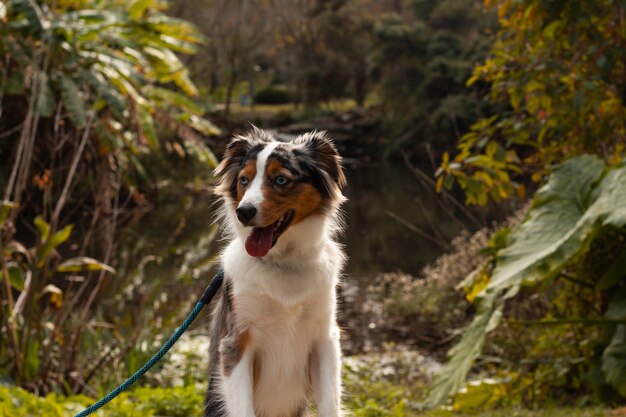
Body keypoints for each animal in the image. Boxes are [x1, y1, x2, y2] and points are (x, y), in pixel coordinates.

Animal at [205, 127, 348, 416]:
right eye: (244, 180)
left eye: (280, 179)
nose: (243, 212)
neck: (283, 262)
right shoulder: (236, 342)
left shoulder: (325, 338)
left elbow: (330, 403)